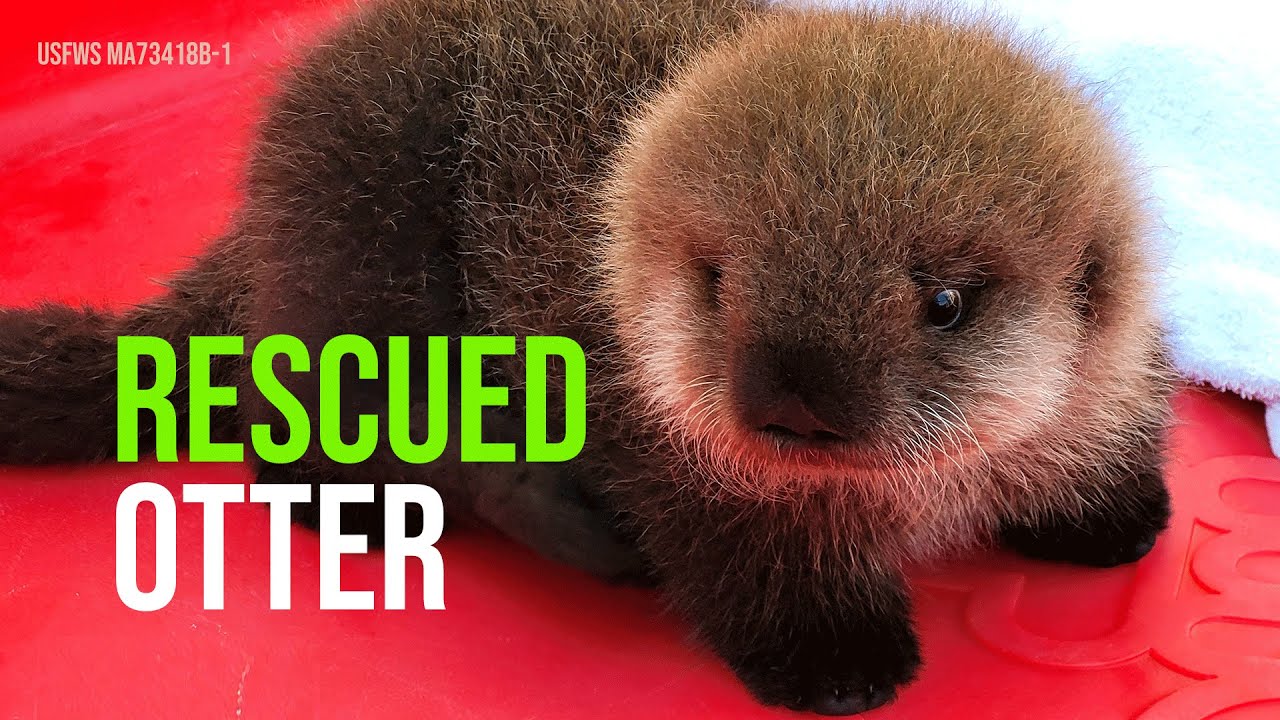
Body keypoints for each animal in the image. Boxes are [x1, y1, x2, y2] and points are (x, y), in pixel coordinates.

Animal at [0, 0, 1173, 714]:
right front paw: (840, 663)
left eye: (943, 302)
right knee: (327, 434)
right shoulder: (696, 478)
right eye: (717, 282)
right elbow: (758, 566)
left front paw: (1115, 515)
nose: (791, 397)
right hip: (365, 237)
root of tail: (254, 238)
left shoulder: (1107, 376)